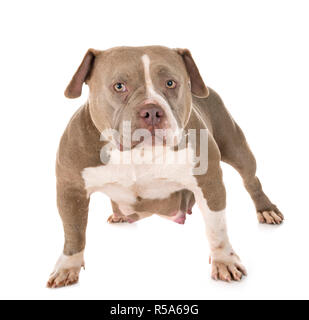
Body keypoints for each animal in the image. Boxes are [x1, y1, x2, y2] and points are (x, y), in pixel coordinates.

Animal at [47, 46, 282, 288]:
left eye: (170, 83)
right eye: (119, 86)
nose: (152, 111)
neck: (139, 154)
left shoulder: (209, 182)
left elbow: (216, 228)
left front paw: (224, 261)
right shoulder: (70, 189)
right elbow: (74, 233)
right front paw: (67, 267)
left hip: (236, 147)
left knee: (251, 179)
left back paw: (267, 209)